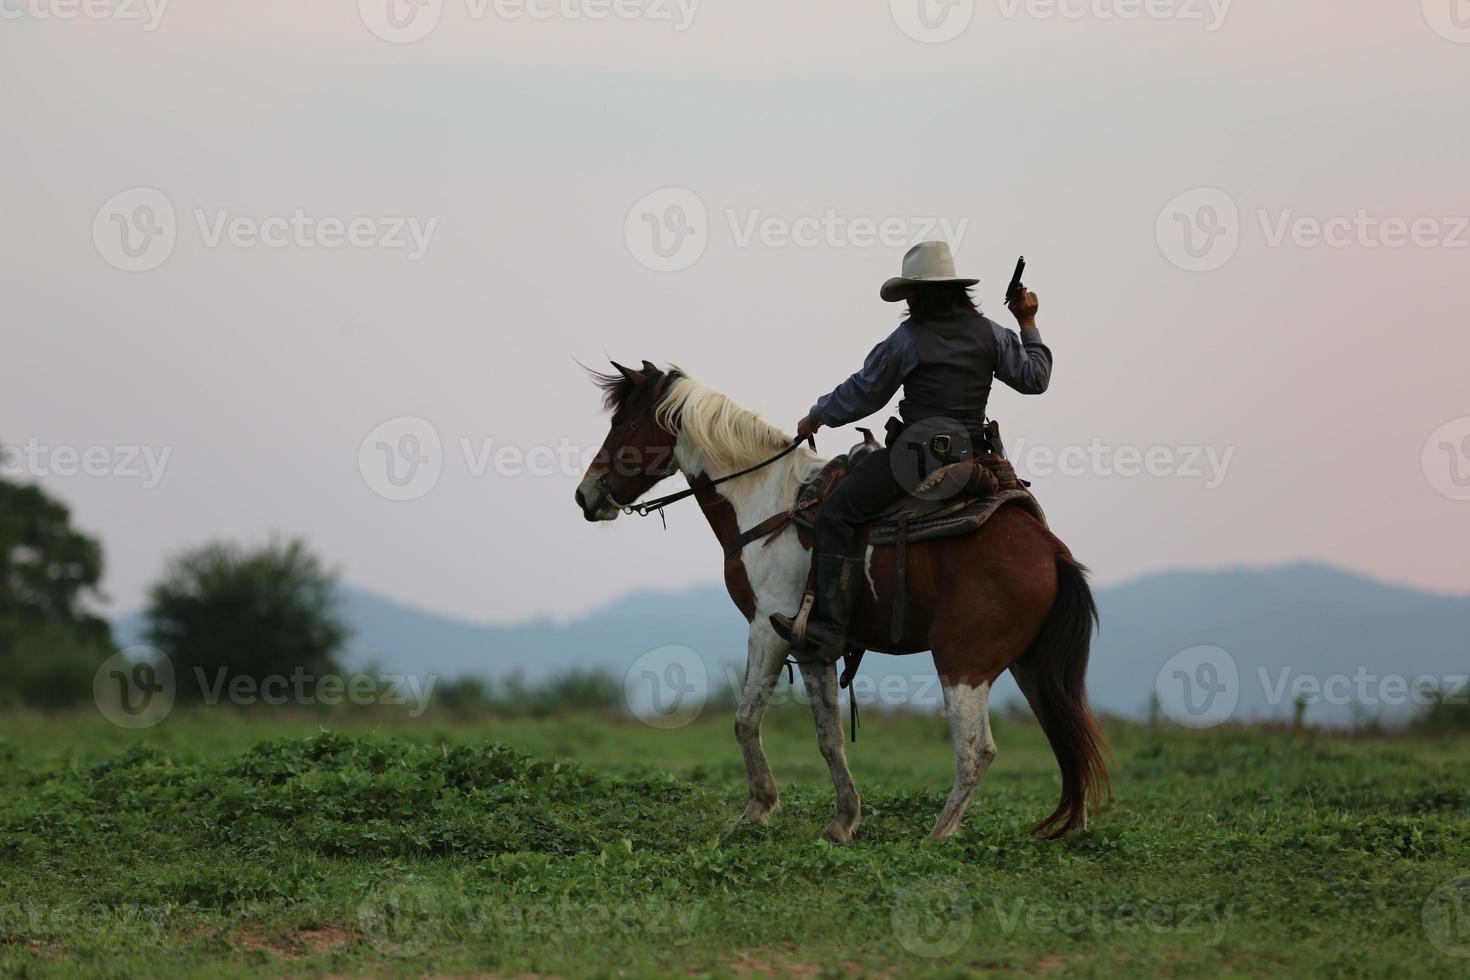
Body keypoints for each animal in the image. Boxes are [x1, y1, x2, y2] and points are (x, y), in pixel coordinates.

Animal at [570, 359, 1105, 846]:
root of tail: (1051, 552)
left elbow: (745, 720)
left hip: (963, 661)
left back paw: (938, 836)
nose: (585, 495)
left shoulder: (765, 628)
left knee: (978, 749)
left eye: (623, 423)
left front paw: (757, 810)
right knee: (1068, 733)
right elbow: (828, 737)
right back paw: (1074, 828)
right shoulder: (811, 645)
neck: (767, 501)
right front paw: (843, 821)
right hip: (1030, 665)